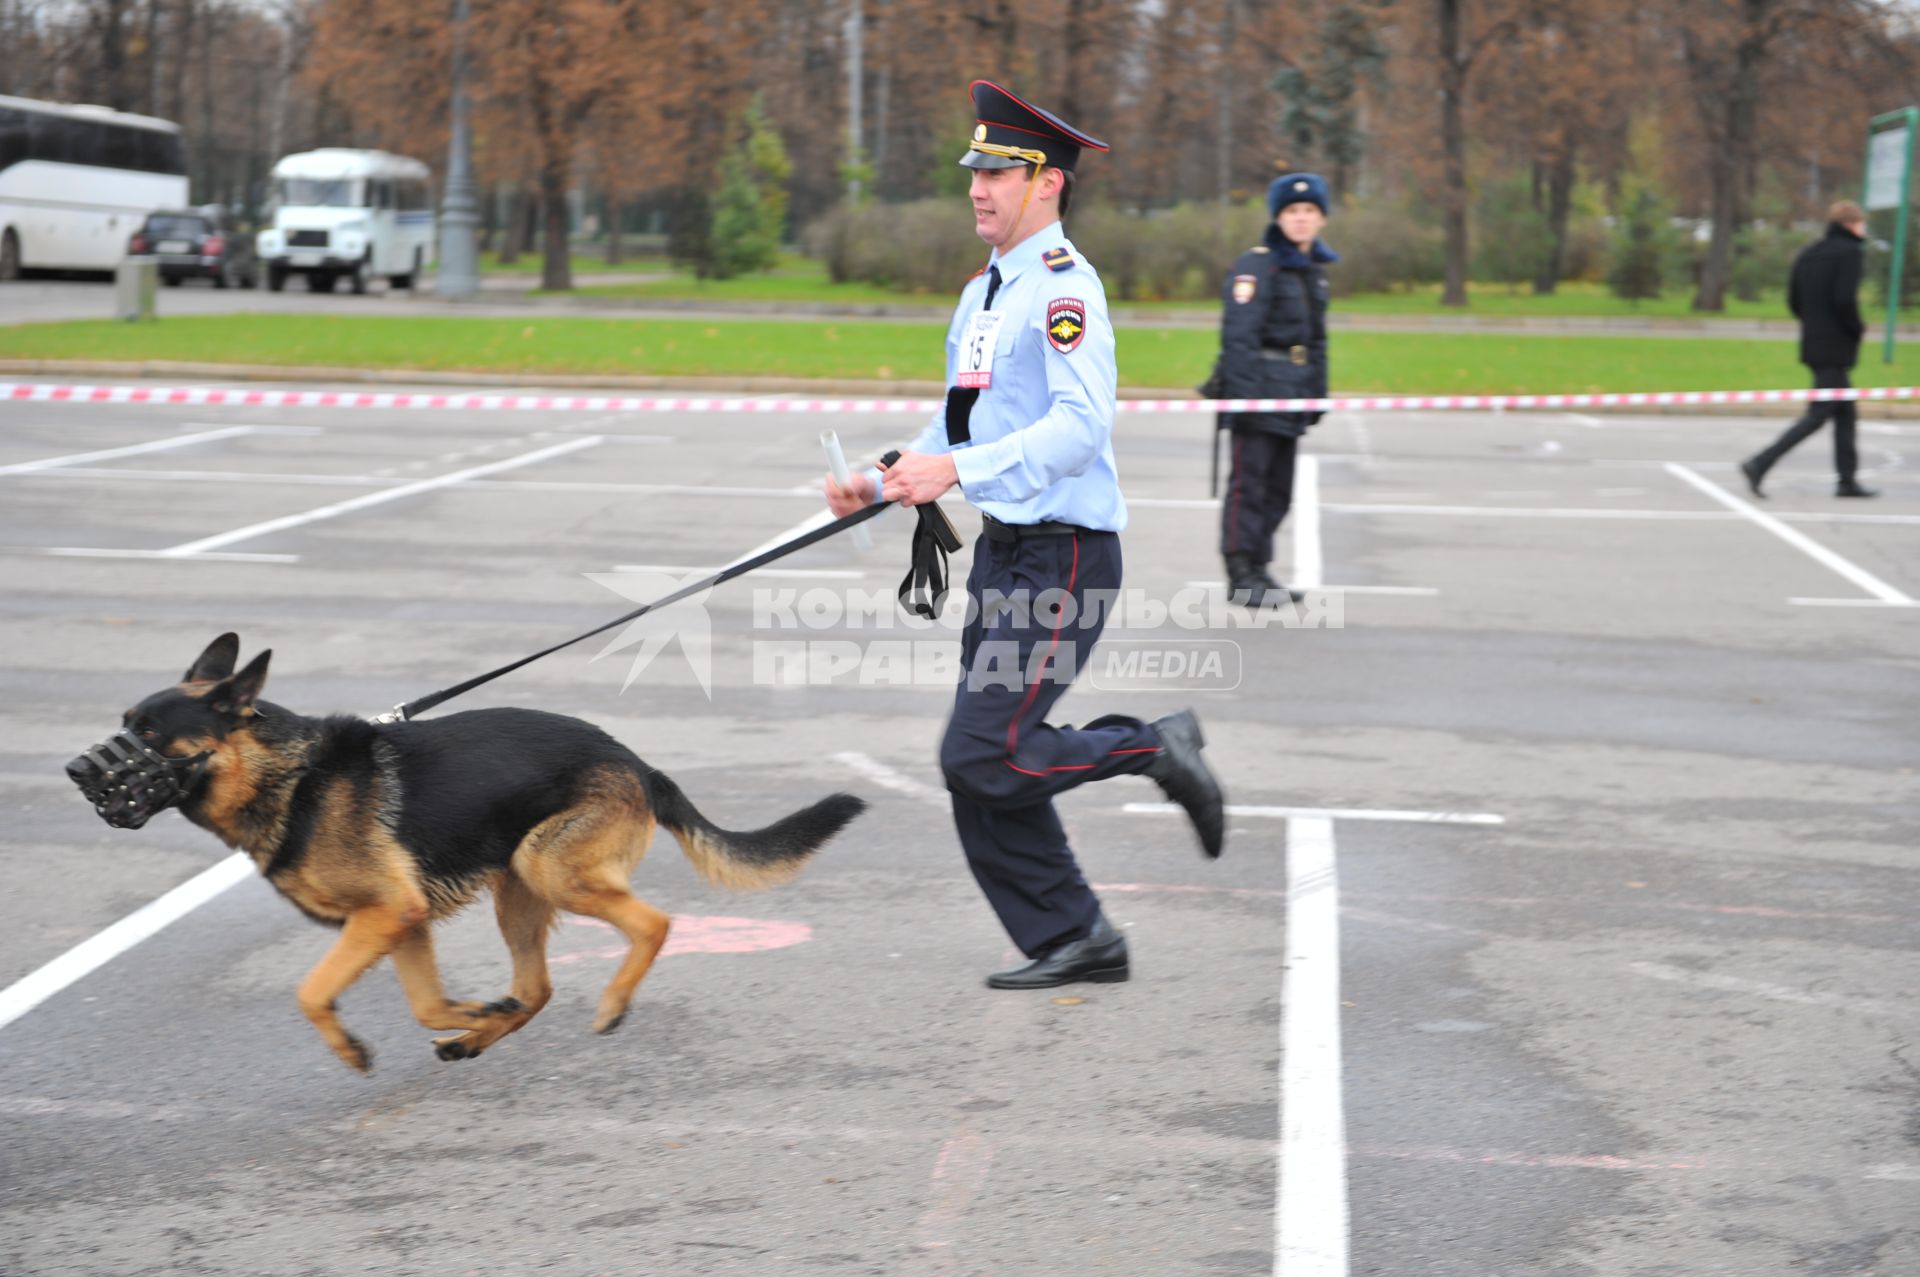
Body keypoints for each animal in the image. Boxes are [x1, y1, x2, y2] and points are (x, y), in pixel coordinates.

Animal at [65, 633, 864, 1067]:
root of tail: (638, 763)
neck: (286, 775)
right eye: (125, 722)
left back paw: (611, 1004)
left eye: (149, 732)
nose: (75, 771)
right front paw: (472, 1016)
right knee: (537, 988)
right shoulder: (403, 921)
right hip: (516, 888)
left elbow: (311, 991)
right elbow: (427, 1005)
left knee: (654, 923)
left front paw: (351, 1047)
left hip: (547, 866)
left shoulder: (384, 915)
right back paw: (482, 1035)